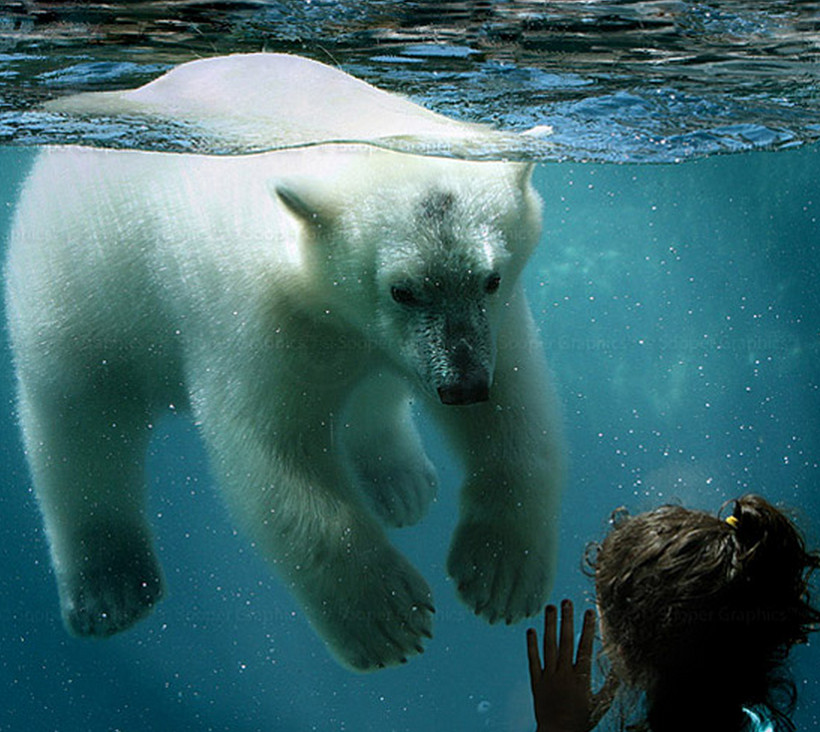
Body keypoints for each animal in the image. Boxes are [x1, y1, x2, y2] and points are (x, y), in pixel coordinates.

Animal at [6, 53, 560, 668]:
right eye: (402, 290)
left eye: (490, 278)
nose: (462, 386)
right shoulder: (260, 312)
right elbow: (275, 454)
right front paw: (388, 619)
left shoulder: (494, 322)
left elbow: (515, 409)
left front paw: (500, 575)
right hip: (76, 280)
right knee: (79, 423)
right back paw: (112, 589)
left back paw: (403, 484)